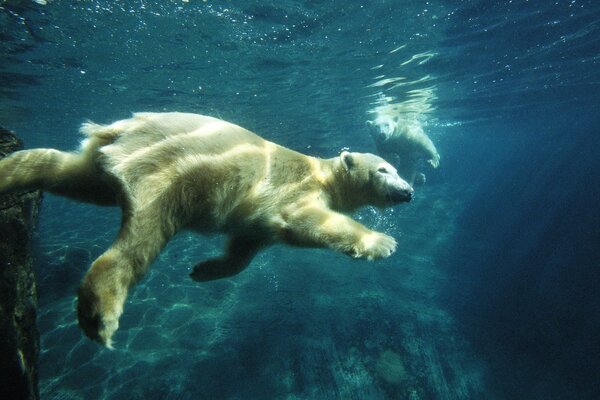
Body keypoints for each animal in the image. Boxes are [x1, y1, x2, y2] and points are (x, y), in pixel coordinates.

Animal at [0, 112, 412, 346]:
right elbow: (305, 221)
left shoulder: (255, 220)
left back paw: (9, 170)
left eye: (395, 169)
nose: (408, 191)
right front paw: (383, 241)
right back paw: (100, 313)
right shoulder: (294, 190)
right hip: (169, 170)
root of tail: (121, 128)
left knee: (67, 171)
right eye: (384, 170)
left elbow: (245, 247)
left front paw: (202, 270)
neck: (322, 173)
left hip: (110, 165)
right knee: (142, 236)